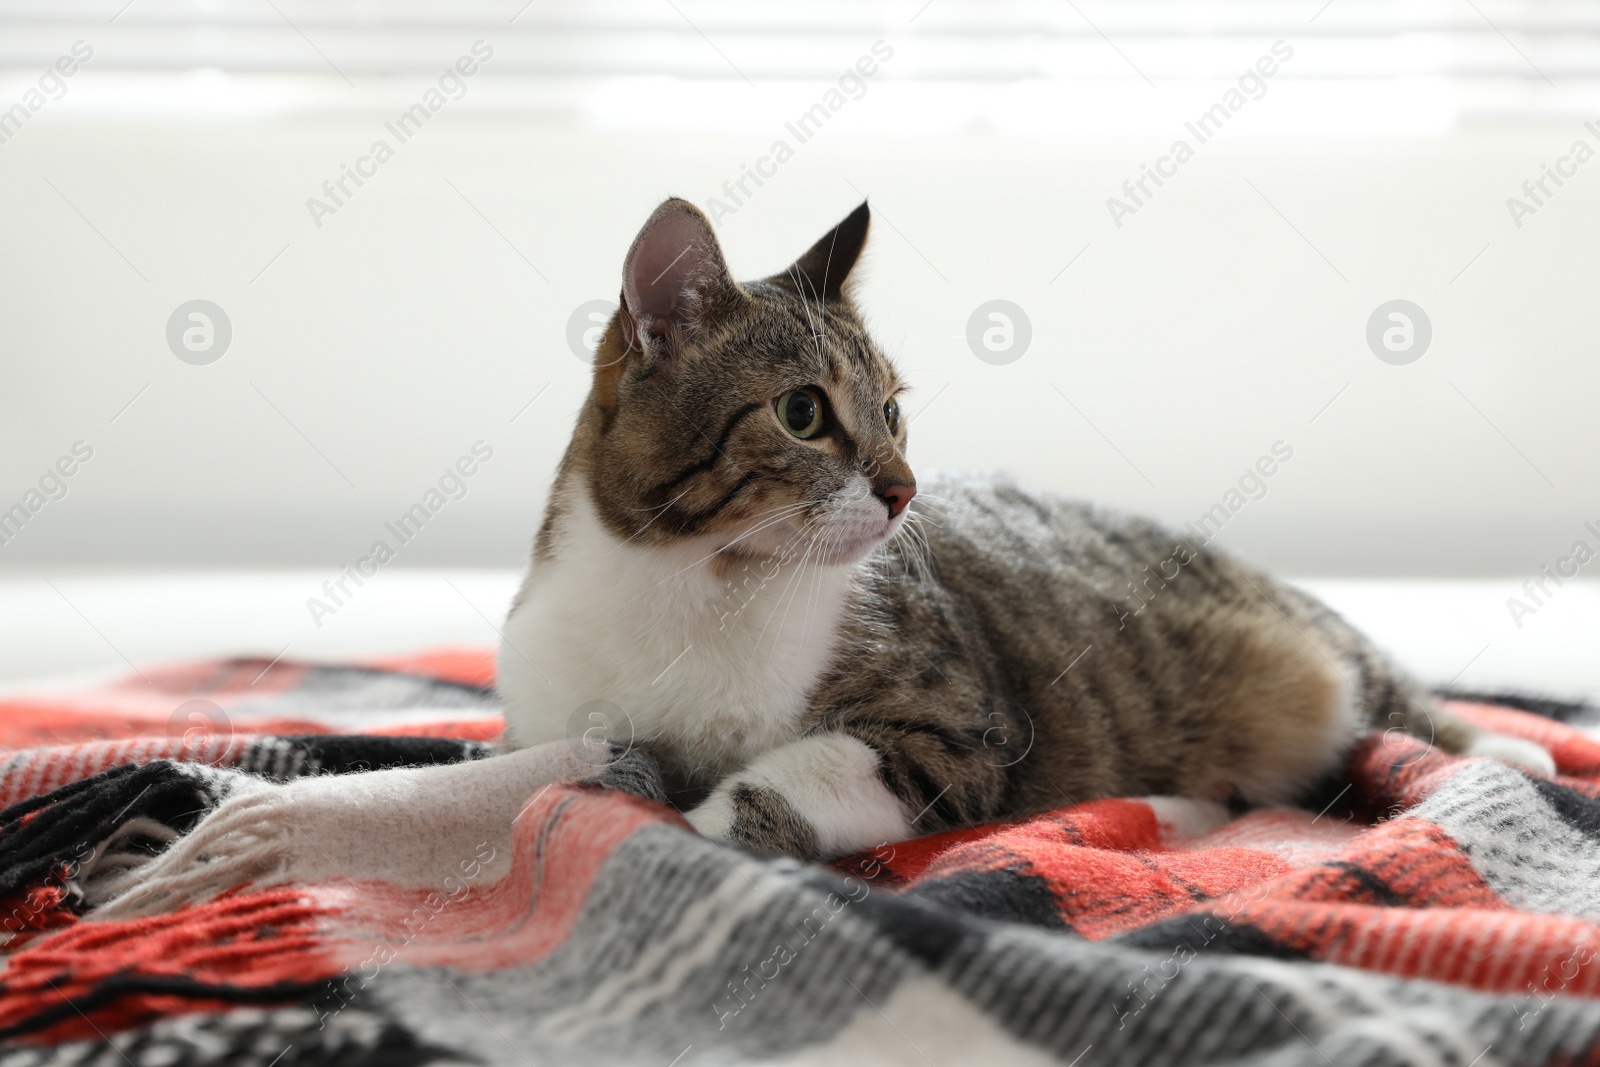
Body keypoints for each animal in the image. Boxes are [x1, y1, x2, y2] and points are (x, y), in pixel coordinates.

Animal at [496, 199, 1548, 863]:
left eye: (893, 410)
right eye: (802, 412)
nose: (905, 489)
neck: (688, 583)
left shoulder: (963, 734)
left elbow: (801, 772)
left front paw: (699, 823)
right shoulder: (549, 720)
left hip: (1325, 666)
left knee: (1399, 700)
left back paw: (1515, 755)